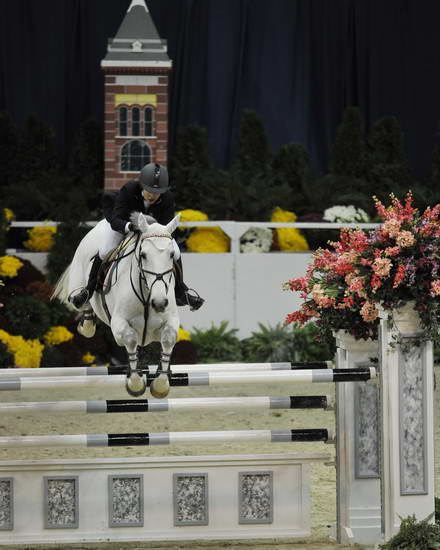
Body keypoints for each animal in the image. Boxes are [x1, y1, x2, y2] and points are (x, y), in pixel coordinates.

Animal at [52, 213, 180, 398]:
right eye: (143, 255)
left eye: (171, 255)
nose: (159, 303)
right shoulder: (119, 324)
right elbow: (130, 339)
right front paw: (135, 384)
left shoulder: (170, 321)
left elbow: (169, 339)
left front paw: (160, 385)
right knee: (86, 307)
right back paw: (85, 323)